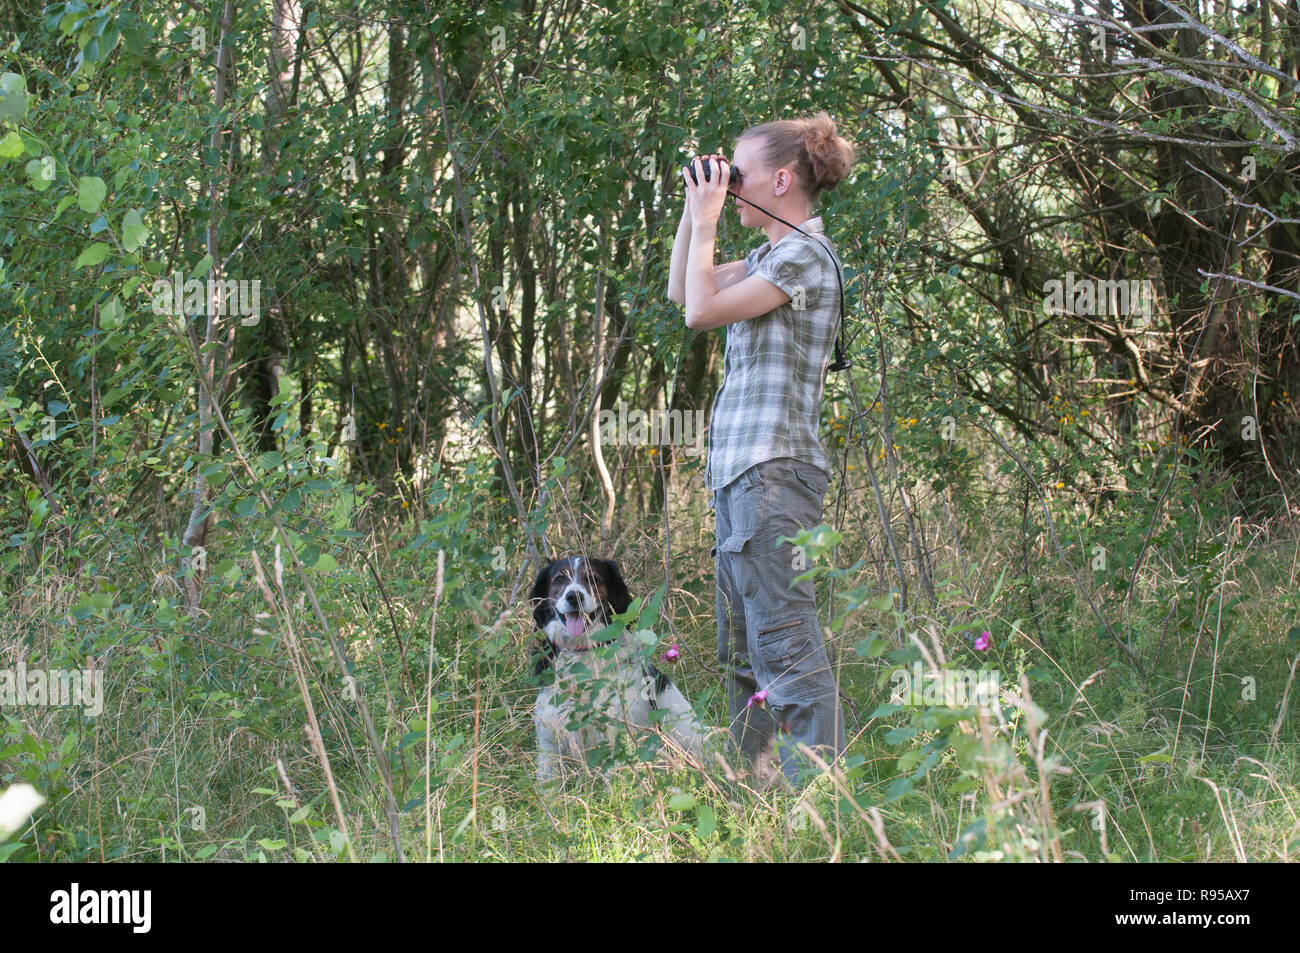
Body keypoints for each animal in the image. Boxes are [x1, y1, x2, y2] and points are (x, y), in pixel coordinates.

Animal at [530, 556, 712, 780]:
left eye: (592, 578)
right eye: (559, 579)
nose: (574, 597)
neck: (583, 652)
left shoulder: (616, 733)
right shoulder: (550, 737)